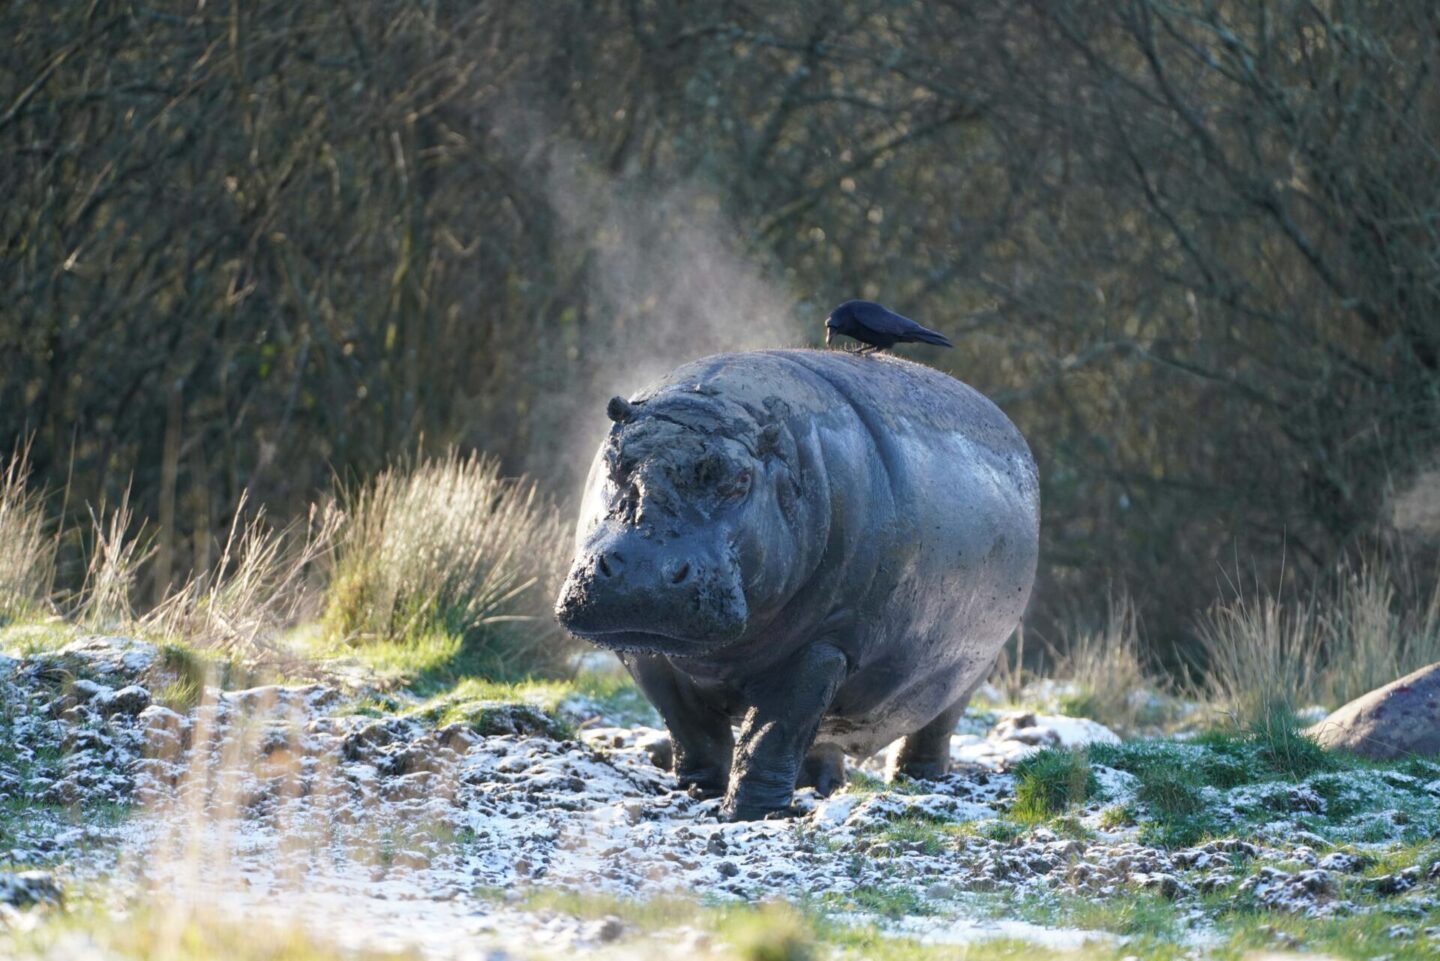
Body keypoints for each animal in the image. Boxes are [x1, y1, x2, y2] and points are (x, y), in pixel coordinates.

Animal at [555, 349, 1039, 819]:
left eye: (741, 479)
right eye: (614, 460)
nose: (645, 569)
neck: (707, 401)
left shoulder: (823, 644)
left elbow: (773, 732)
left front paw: (749, 815)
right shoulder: (647, 653)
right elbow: (691, 729)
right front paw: (698, 792)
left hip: (969, 670)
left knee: (932, 727)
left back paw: (917, 782)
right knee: (822, 736)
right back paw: (821, 787)